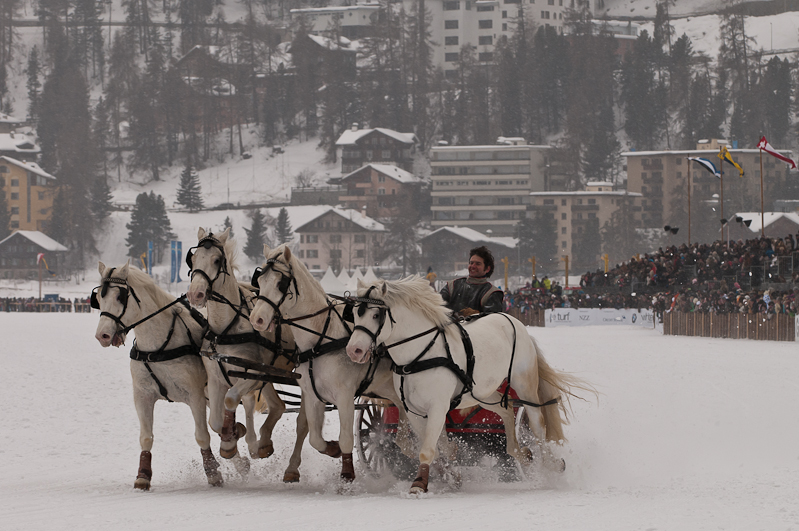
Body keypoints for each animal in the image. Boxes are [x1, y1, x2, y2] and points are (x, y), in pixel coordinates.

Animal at [94, 262, 225, 490]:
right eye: (99, 298)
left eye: (120, 296)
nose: (102, 335)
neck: (157, 347)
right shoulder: (142, 396)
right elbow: (146, 437)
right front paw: (143, 475)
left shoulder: (195, 396)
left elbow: (202, 435)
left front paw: (212, 472)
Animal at [188, 227, 310, 484]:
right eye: (192, 259)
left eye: (217, 260)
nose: (195, 294)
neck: (225, 329)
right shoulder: (216, 378)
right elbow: (214, 421)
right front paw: (232, 438)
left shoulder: (252, 374)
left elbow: (232, 399)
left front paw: (232, 443)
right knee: (278, 406)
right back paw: (261, 443)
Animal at [248, 243, 412, 484]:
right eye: (259, 281)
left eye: (281, 283)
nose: (256, 319)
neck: (320, 341)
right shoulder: (313, 395)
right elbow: (315, 438)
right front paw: (332, 449)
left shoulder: (344, 397)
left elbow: (345, 438)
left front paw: (347, 473)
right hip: (391, 393)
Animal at [346, 276, 592, 496]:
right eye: (355, 313)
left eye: (376, 314)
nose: (354, 350)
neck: (419, 355)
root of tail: (512, 320)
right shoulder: (414, 411)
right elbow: (433, 447)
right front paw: (451, 474)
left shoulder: (437, 407)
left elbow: (427, 450)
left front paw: (419, 485)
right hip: (482, 392)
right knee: (506, 411)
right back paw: (518, 452)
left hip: (524, 385)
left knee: (536, 423)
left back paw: (549, 463)